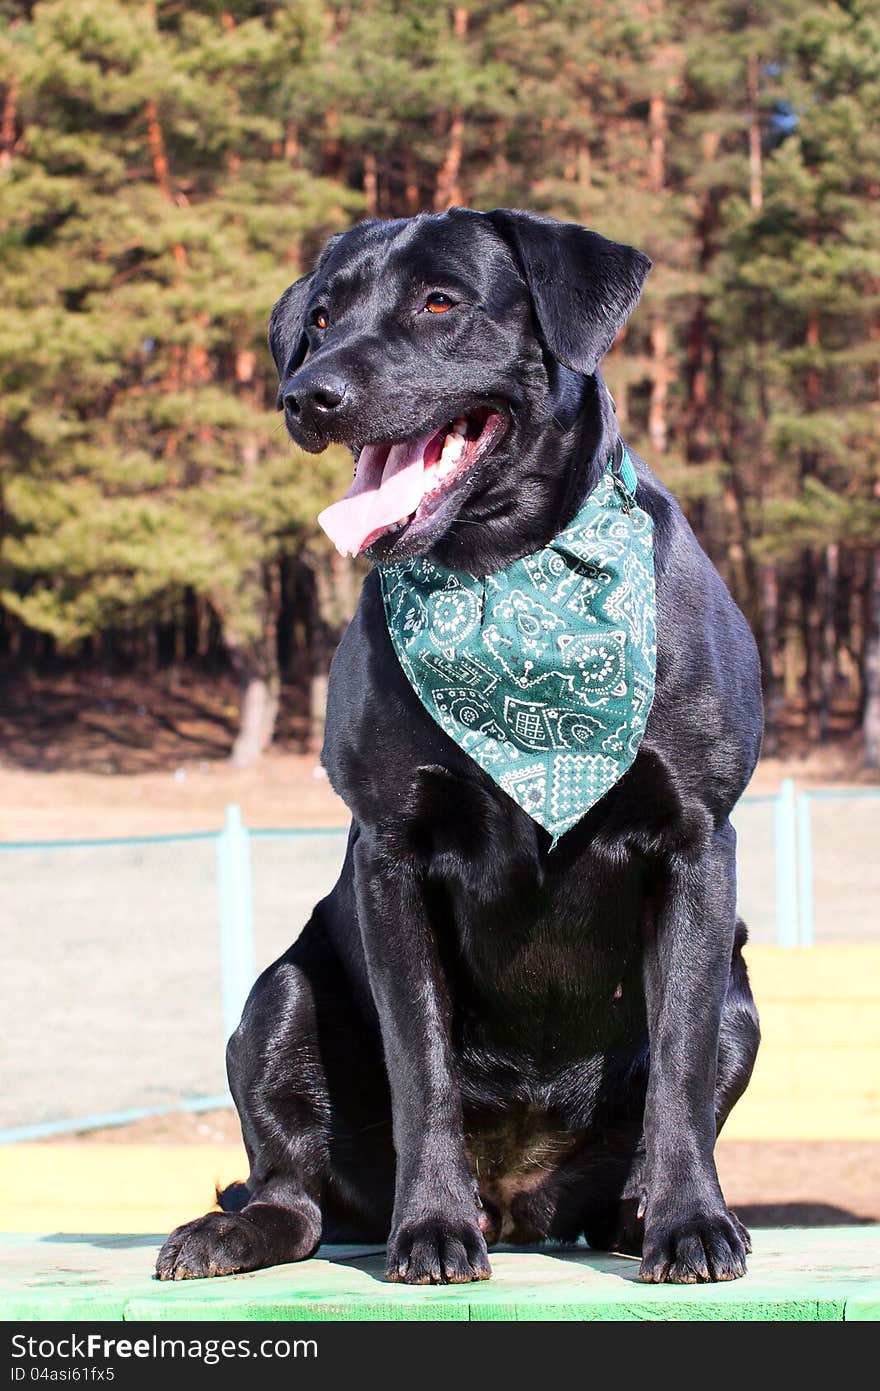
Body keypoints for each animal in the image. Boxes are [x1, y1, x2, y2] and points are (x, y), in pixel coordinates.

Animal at [154, 211, 756, 1285]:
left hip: (742, 988)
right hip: (277, 1000)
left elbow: (681, 1066)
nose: (307, 393)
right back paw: (237, 1232)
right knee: (293, 1191)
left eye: (440, 302)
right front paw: (432, 1225)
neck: (503, 576)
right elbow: (420, 1061)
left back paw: (643, 1212)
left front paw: (692, 1222)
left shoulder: (696, 843)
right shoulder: (393, 852)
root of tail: (524, 1202)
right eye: (320, 317)